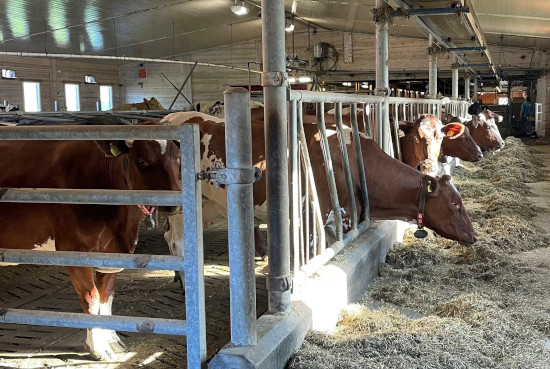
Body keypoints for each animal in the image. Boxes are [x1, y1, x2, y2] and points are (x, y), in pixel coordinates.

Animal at [0, 121, 183, 360]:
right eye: (141, 161)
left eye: (179, 159)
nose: (174, 204)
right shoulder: (75, 250)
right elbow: (91, 298)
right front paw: (98, 348)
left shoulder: (114, 253)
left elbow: (107, 297)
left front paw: (113, 341)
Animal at [158, 112, 474, 274]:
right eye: (456, 204)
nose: (473, 235)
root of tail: (171, 117)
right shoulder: (322, 216)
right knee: (176, 239)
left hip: (209, 203)